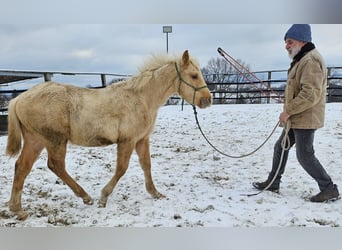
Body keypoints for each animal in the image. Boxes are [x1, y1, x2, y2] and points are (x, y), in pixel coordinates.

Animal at [6, 50, 211, 219]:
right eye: (194, 75)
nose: (207, 100)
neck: (141, 99)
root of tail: (18, 99)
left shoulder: (141, 139)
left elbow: (146, 165)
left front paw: (155, 193)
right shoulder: (127, 141)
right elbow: (121, 168)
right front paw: (103, 198)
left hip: (36, 140)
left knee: (22, 167)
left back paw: (18, 210)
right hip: (55, 140)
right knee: (55, 165)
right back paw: (85, 197)